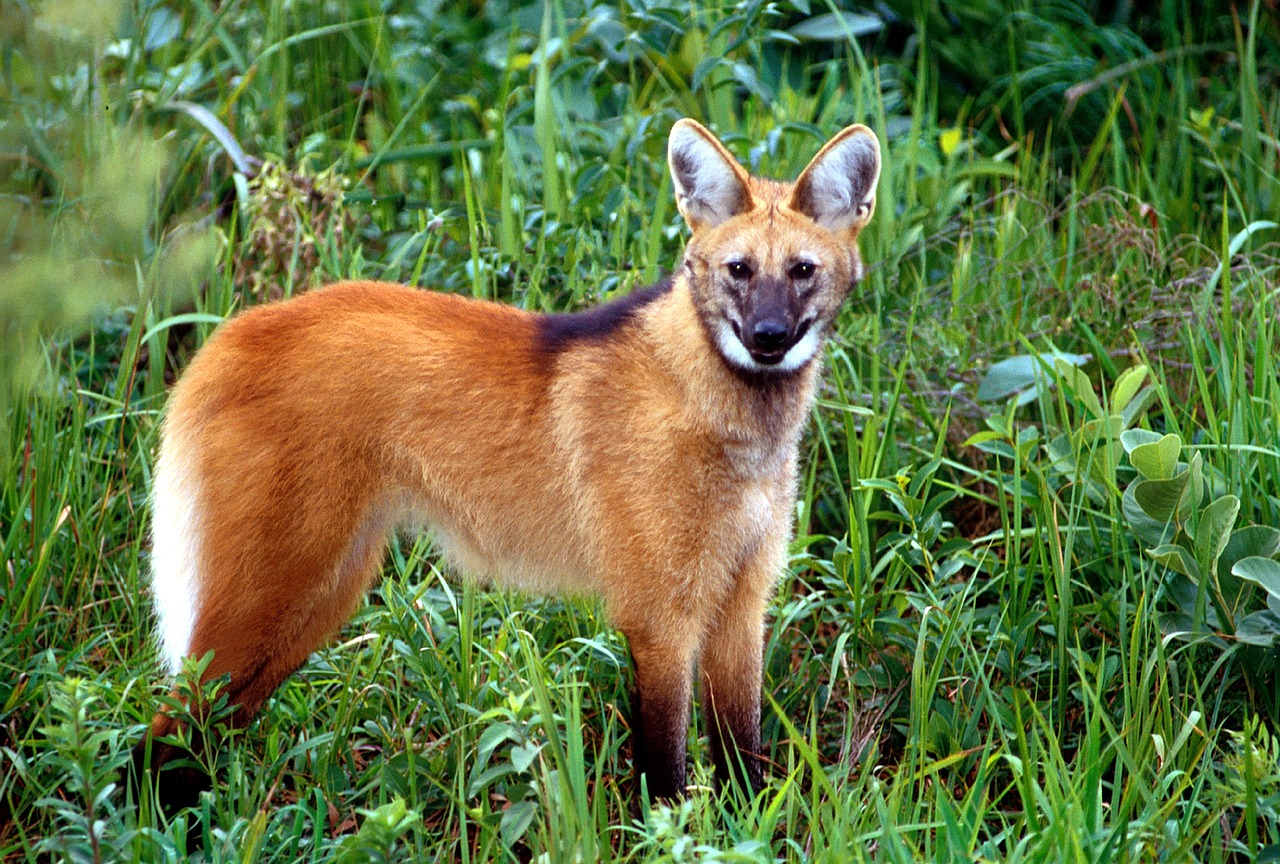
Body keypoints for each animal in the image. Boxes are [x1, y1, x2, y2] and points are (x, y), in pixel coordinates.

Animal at [137, 116, 880, 808]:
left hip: (320, 598)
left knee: (203, 732)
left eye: (802, 271)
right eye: (740, 270)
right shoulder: (660, 615)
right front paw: (670, 832)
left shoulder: (741, 603)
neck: (730, 420)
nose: (767, 339)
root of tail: (235, 331)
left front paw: (746, 828)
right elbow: (665, 774)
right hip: (279, 591)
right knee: (163, 736)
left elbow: (742, 755)